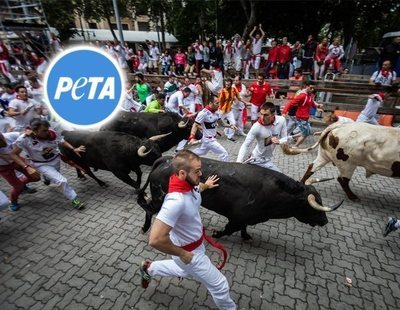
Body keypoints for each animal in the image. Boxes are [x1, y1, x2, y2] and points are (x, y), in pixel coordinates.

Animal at [138, 156, 344, 239]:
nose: (324, 221)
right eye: (312, 205)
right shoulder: (237, 218)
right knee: (147, 207)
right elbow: (229, 229)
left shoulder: (246, 219)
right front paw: (217, 234)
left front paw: (246, 236)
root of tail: (166, 159)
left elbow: (244, 228)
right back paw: (145, 227)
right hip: (160, 198)